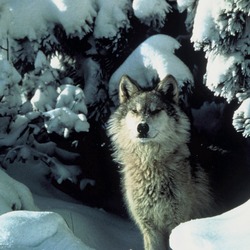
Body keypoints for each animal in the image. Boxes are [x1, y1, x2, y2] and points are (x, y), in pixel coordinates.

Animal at [106, 74, 214, 250]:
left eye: (155, 110)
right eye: (135, 111)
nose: (142, 127)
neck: (150, 166)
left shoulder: (176, 223)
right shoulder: (150, 228)